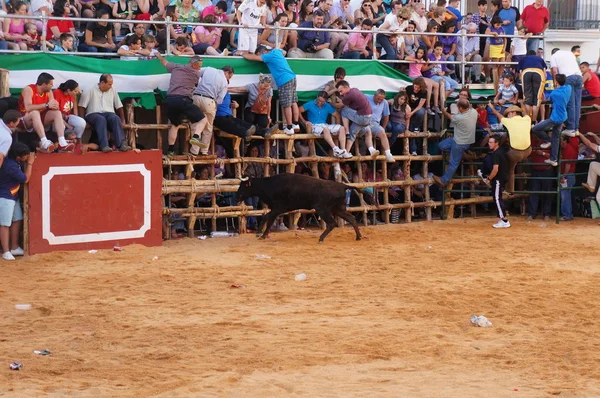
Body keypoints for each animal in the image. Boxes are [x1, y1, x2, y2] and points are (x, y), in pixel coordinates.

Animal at [236, 173, 366, 241]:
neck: (270, 185)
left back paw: (321, 238)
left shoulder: (279, 208)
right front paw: (262, 234)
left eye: (243, 186)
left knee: (332, 223)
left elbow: (267, 217)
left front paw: (260, 233)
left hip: (323, 209)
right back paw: (358, 236)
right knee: (351, 218)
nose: (237, 196)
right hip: (338, 209)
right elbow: (269, 220)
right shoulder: (277, 209)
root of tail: (342, 185)